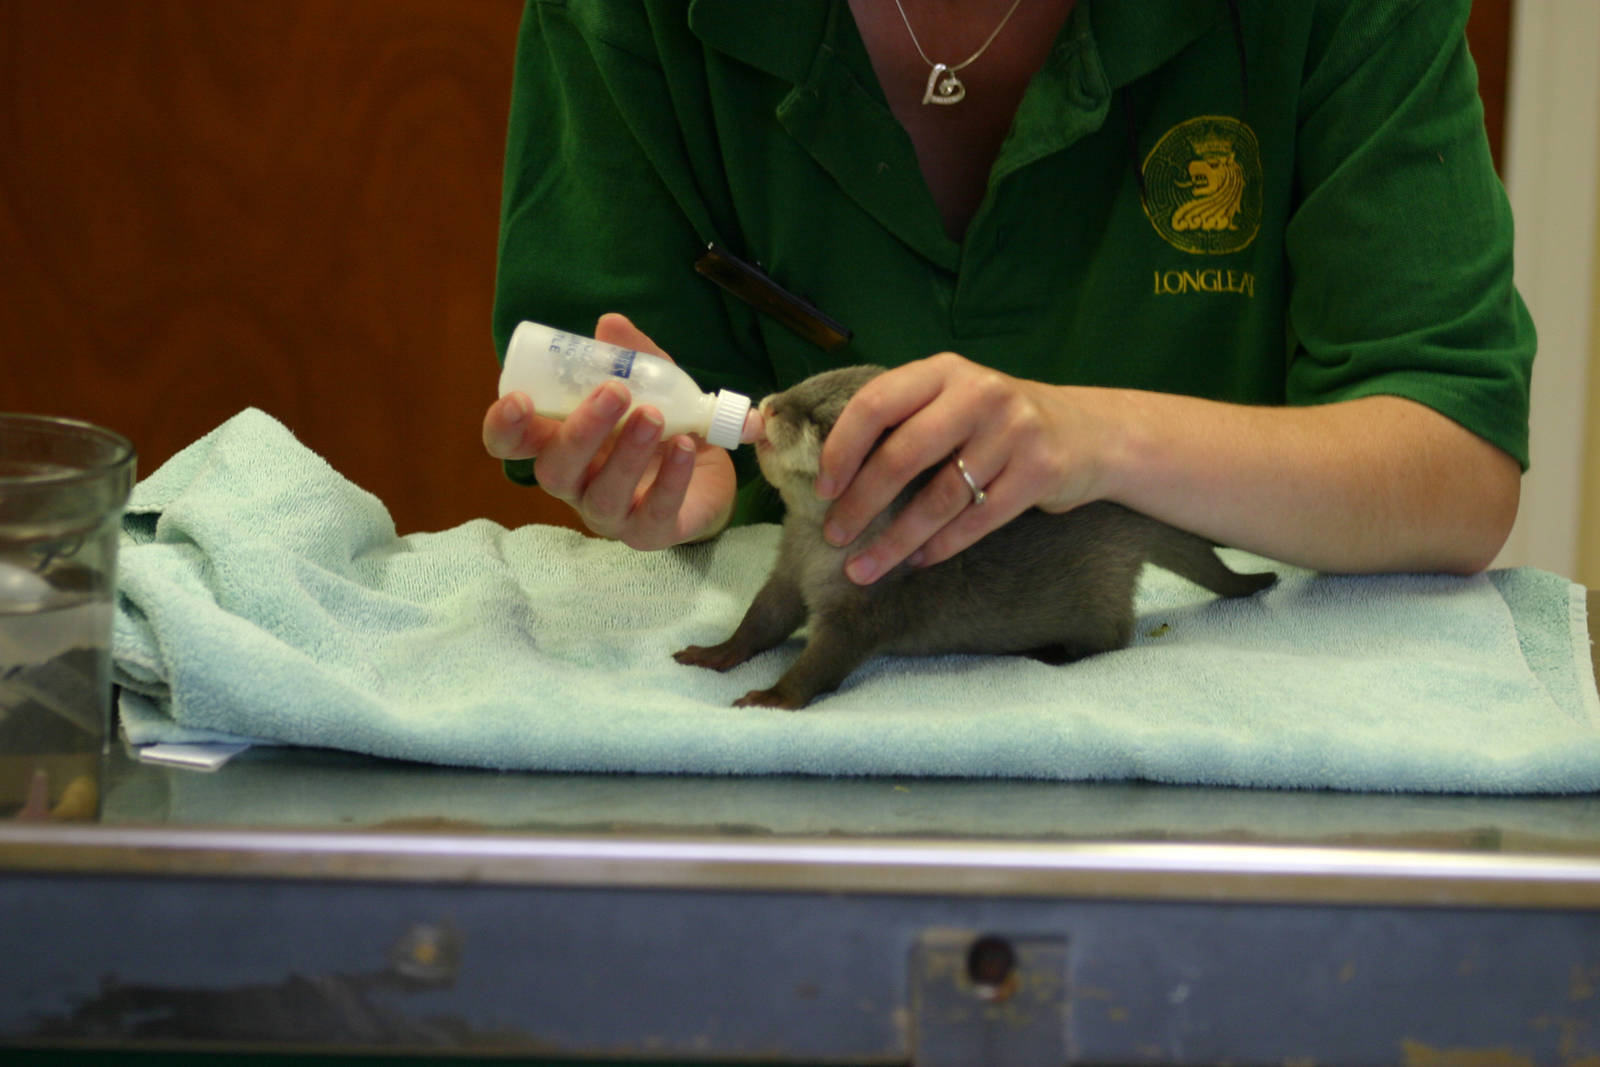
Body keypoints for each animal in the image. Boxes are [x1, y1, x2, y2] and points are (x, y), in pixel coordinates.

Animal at [673, 365, 1276, 709]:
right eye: (805, 384)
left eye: (824, 421)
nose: (771, 406)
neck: (825, 555)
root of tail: (1126, 514)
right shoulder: (788, 573)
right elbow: (763, 619)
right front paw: (715, 652)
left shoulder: (866, 608)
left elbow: (824, 661)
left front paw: (773, 696)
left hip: (1098, 595)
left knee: (1115, 637)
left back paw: (1054, 654)